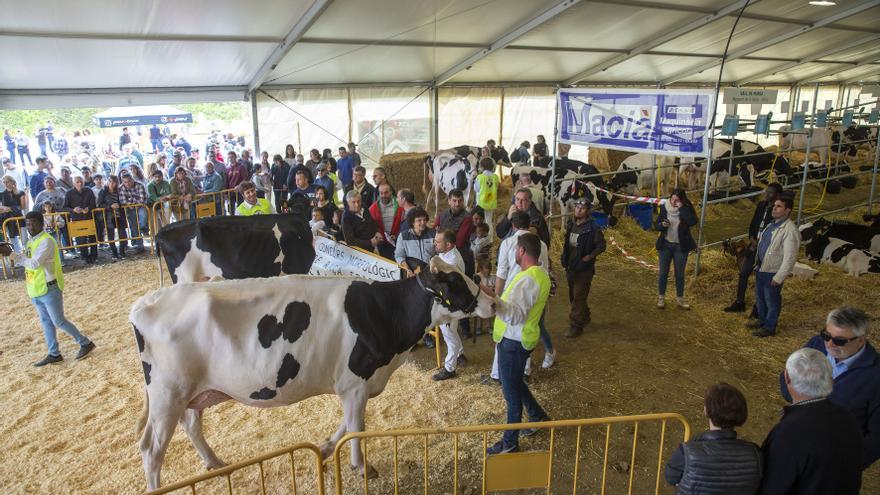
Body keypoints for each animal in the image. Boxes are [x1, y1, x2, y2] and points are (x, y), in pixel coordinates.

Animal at [135, 258, 498, 490]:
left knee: (192, 426)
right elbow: (356, 426)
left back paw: (214, 461)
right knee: (151, 449)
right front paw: (361, 466)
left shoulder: (357, 385)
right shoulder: (355, 383)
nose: (494, 302)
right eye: (455, 282)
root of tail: (146, 302)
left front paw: (324, 449)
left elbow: (347, 425)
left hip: (192, 393)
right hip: (167, 394)